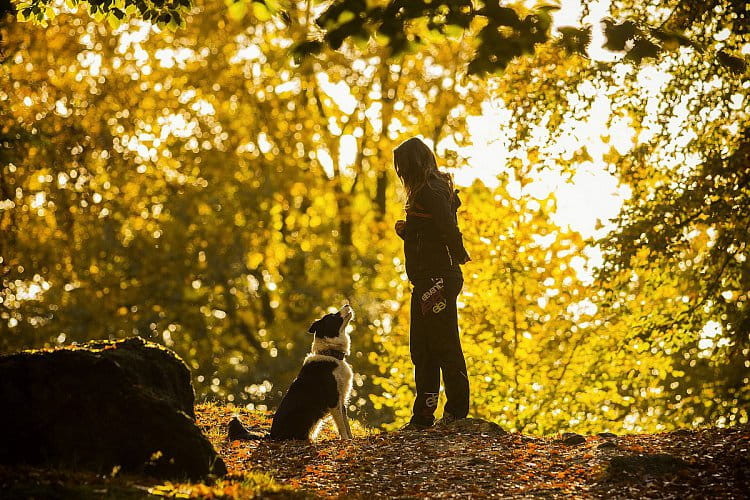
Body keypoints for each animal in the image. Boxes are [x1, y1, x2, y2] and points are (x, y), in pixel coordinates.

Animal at [268, 302, 356, 440]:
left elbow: (346, 422)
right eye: (333, 316)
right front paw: (346, 440)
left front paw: (351, 438)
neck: (330, 354)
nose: (347, 304)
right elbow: (341, 424)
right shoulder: (333, 398)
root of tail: (271, 435)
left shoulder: (342, 397)